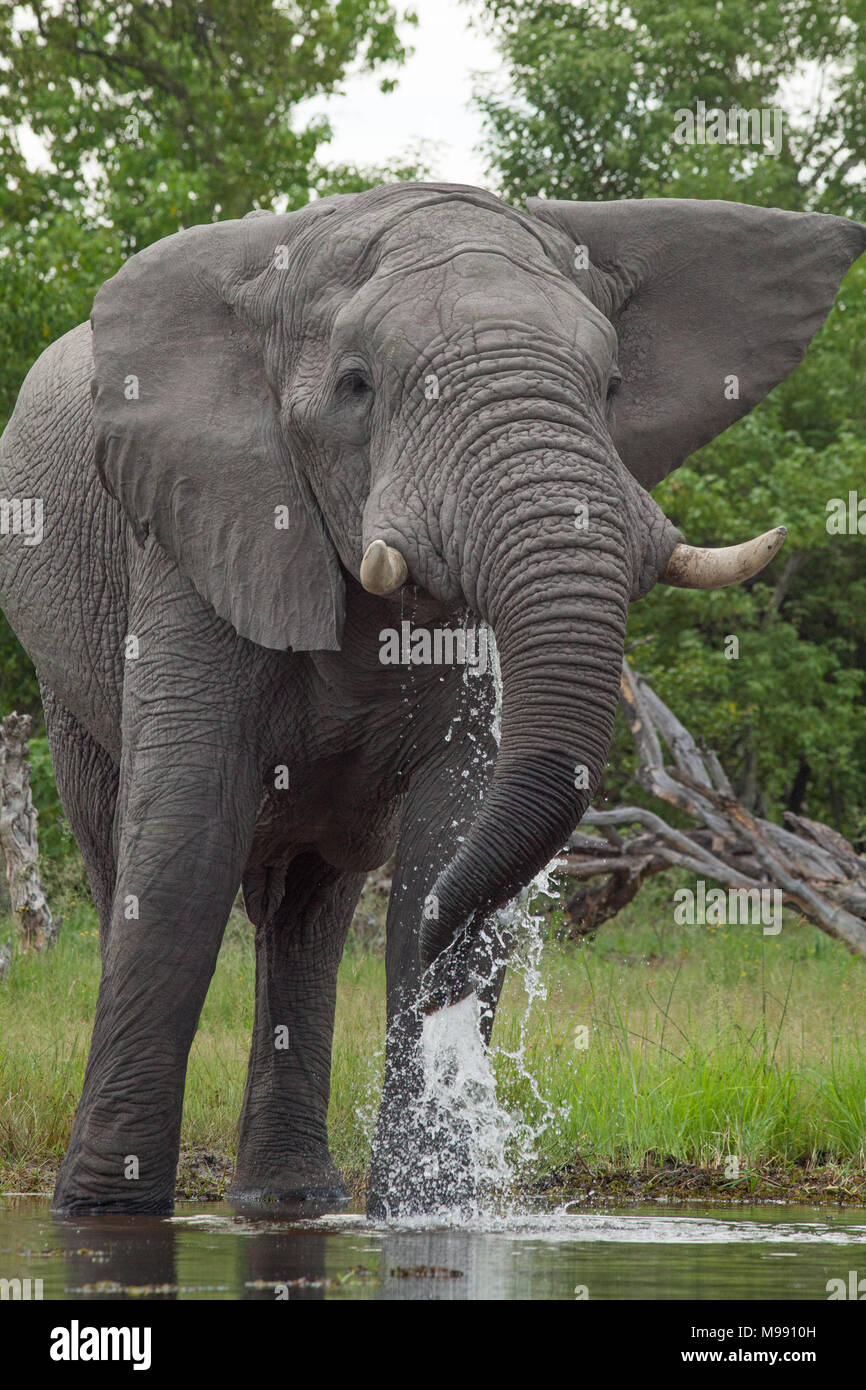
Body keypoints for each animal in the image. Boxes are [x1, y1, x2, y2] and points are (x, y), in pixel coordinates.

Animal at [0, 179, 861, 1212]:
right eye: (357, 385)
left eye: (612, 386)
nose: (454, 946)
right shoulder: (189, 533)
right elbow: (183, 852)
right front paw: (103, 1214)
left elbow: (449, 827)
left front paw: (427, 1207)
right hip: (65, 681)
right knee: (121, 862)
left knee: (311, 910)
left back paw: (291, 1203)